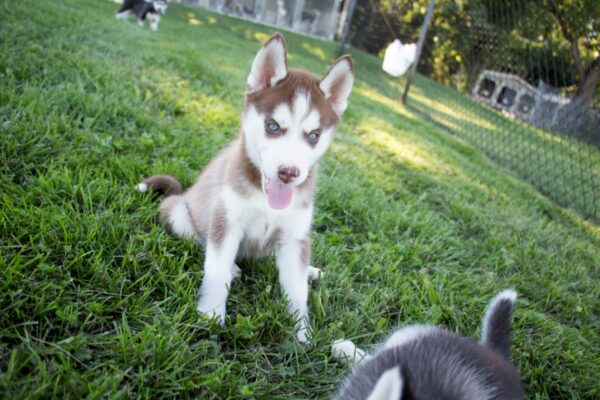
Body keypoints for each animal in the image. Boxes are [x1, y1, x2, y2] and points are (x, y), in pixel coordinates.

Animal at [141, 33, 354, 344]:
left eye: (314, 135)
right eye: (273, 126)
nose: (289, 173)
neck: (266, 200)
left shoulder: (294, 237)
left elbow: (296, 290)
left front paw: (302, 334)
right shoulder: (226, 220)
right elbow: (215, 269)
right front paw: (210, 315)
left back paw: (311, 271)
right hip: (179, 213)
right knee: (202, 242)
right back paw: (233, 267)